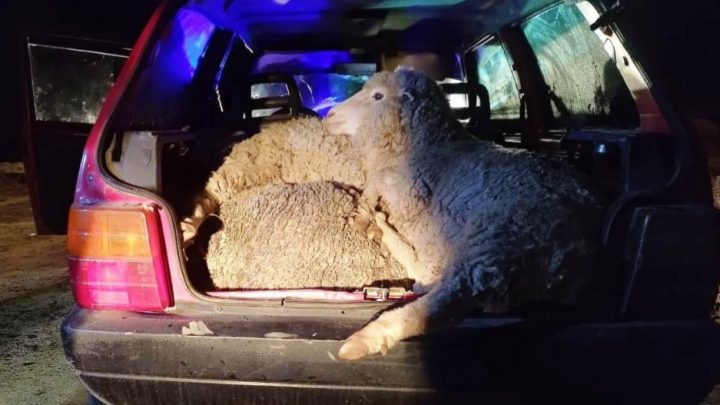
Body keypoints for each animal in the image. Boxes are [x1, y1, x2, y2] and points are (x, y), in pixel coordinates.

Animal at [325, 69, 603, 360]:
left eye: (378, 96)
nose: (329, 115)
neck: (423, 144)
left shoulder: (414, 209)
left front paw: (364, 216)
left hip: (494, 239)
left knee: (438, 300)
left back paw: (367, 336)